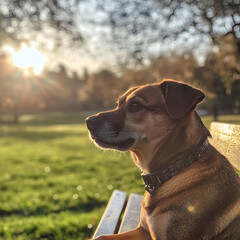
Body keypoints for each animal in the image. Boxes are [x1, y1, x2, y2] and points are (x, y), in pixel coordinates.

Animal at [86, 80, 240, 240]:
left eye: (135, 105)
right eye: (118, 104)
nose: (88, 121)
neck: (177, 166)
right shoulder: (144, 230)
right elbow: (100, 237)